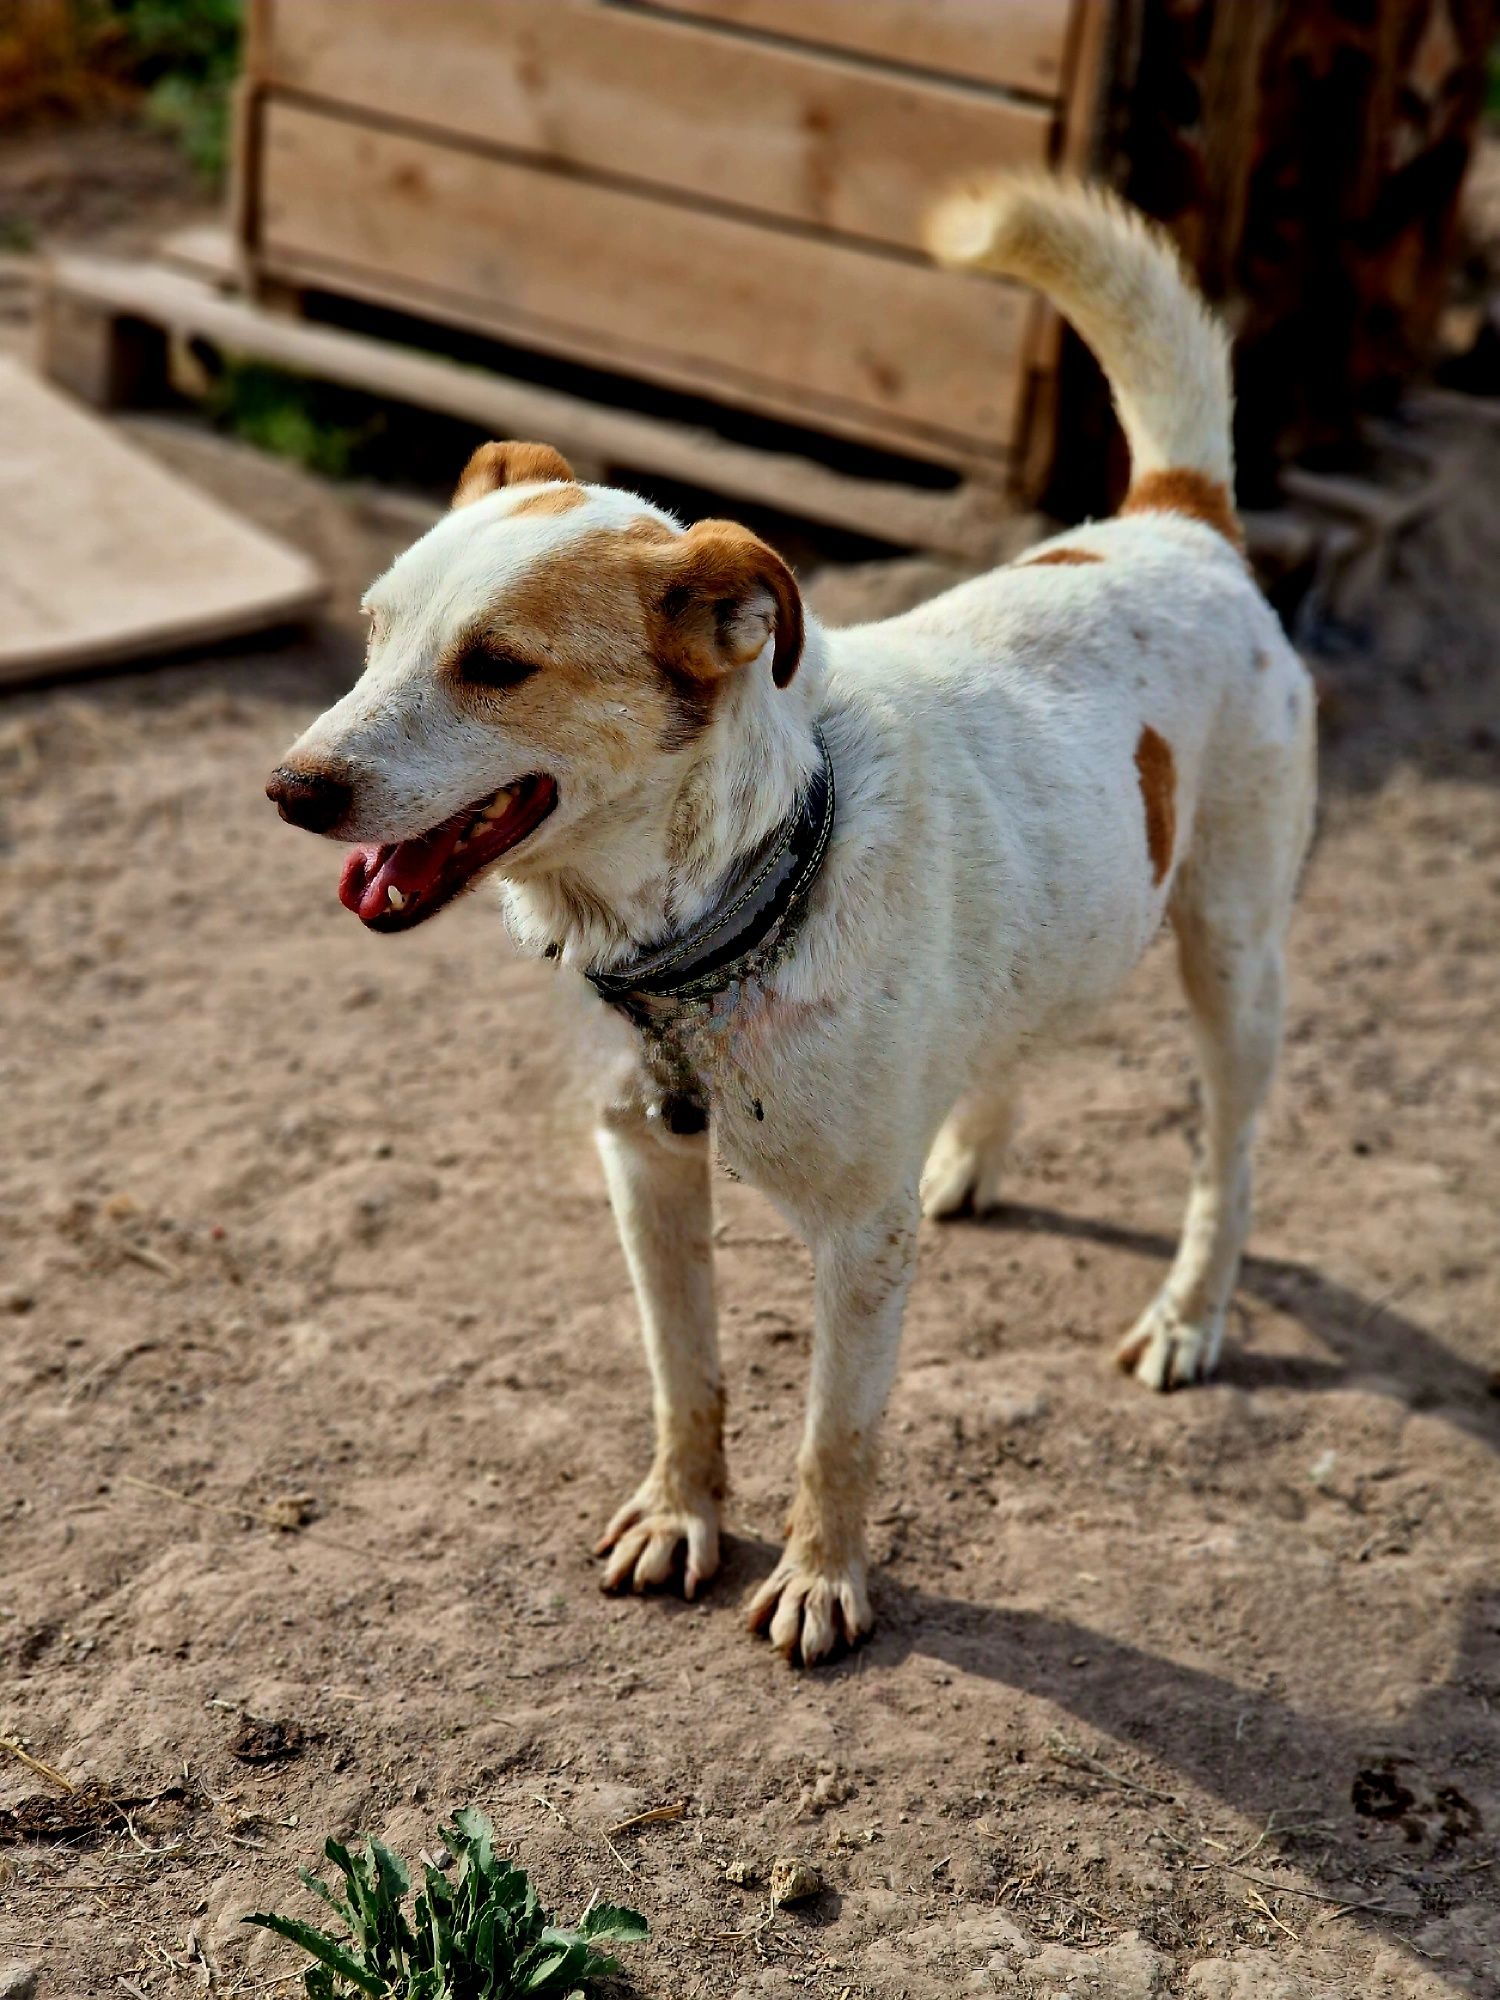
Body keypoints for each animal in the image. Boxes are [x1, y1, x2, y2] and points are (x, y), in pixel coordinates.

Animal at [268, 180, 1312, 1664]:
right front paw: (680, 1517)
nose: (290, 788)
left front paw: (825, 1581)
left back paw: (1187, 1315)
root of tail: (1180, 522)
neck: (726, 911)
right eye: (370, 631)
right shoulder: (642, 1175)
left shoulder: (862, 1241)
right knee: (1018, 1032)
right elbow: (686, 1379)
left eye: (496, 665)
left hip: (1233, 951)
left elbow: (838, 1434)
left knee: (1229, 1157)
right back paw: (972, 1155)